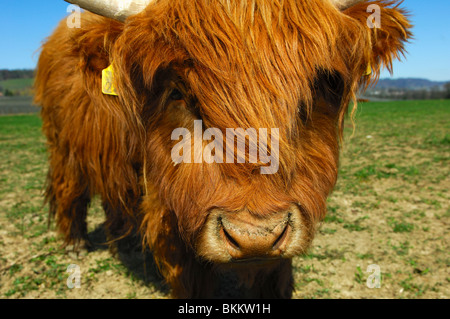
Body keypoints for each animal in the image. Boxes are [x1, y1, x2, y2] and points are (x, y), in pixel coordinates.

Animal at [33, 0, 410, 298]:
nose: (255, 238)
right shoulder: (174, 207)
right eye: (178, 92)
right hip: (64, 145)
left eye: (319, 88)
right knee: (71, 187)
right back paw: (75, 244)